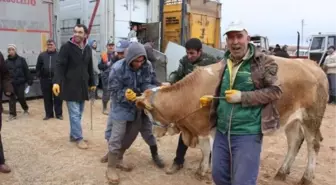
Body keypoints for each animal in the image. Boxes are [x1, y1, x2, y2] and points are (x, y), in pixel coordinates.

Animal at [135, 56, 328, 185]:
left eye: (147, 112)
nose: (155, 133)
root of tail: (312, 65)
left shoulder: (206, 129)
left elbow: (207, 150)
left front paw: (204, 171)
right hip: (292, 119)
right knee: (295, 142)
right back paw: (282, 172)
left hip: (311, 118)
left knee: (313, 144)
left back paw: (306, 177)